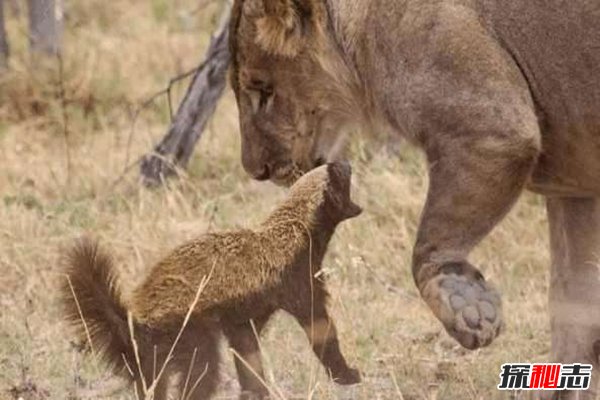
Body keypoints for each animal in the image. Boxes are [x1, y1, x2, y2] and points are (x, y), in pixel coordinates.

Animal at [229, 0, 600, 396]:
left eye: (263, 89)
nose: (256, 169)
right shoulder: (573, 189)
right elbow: (572, 299)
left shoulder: (492, 131)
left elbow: (432, 241)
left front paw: (466, 305)